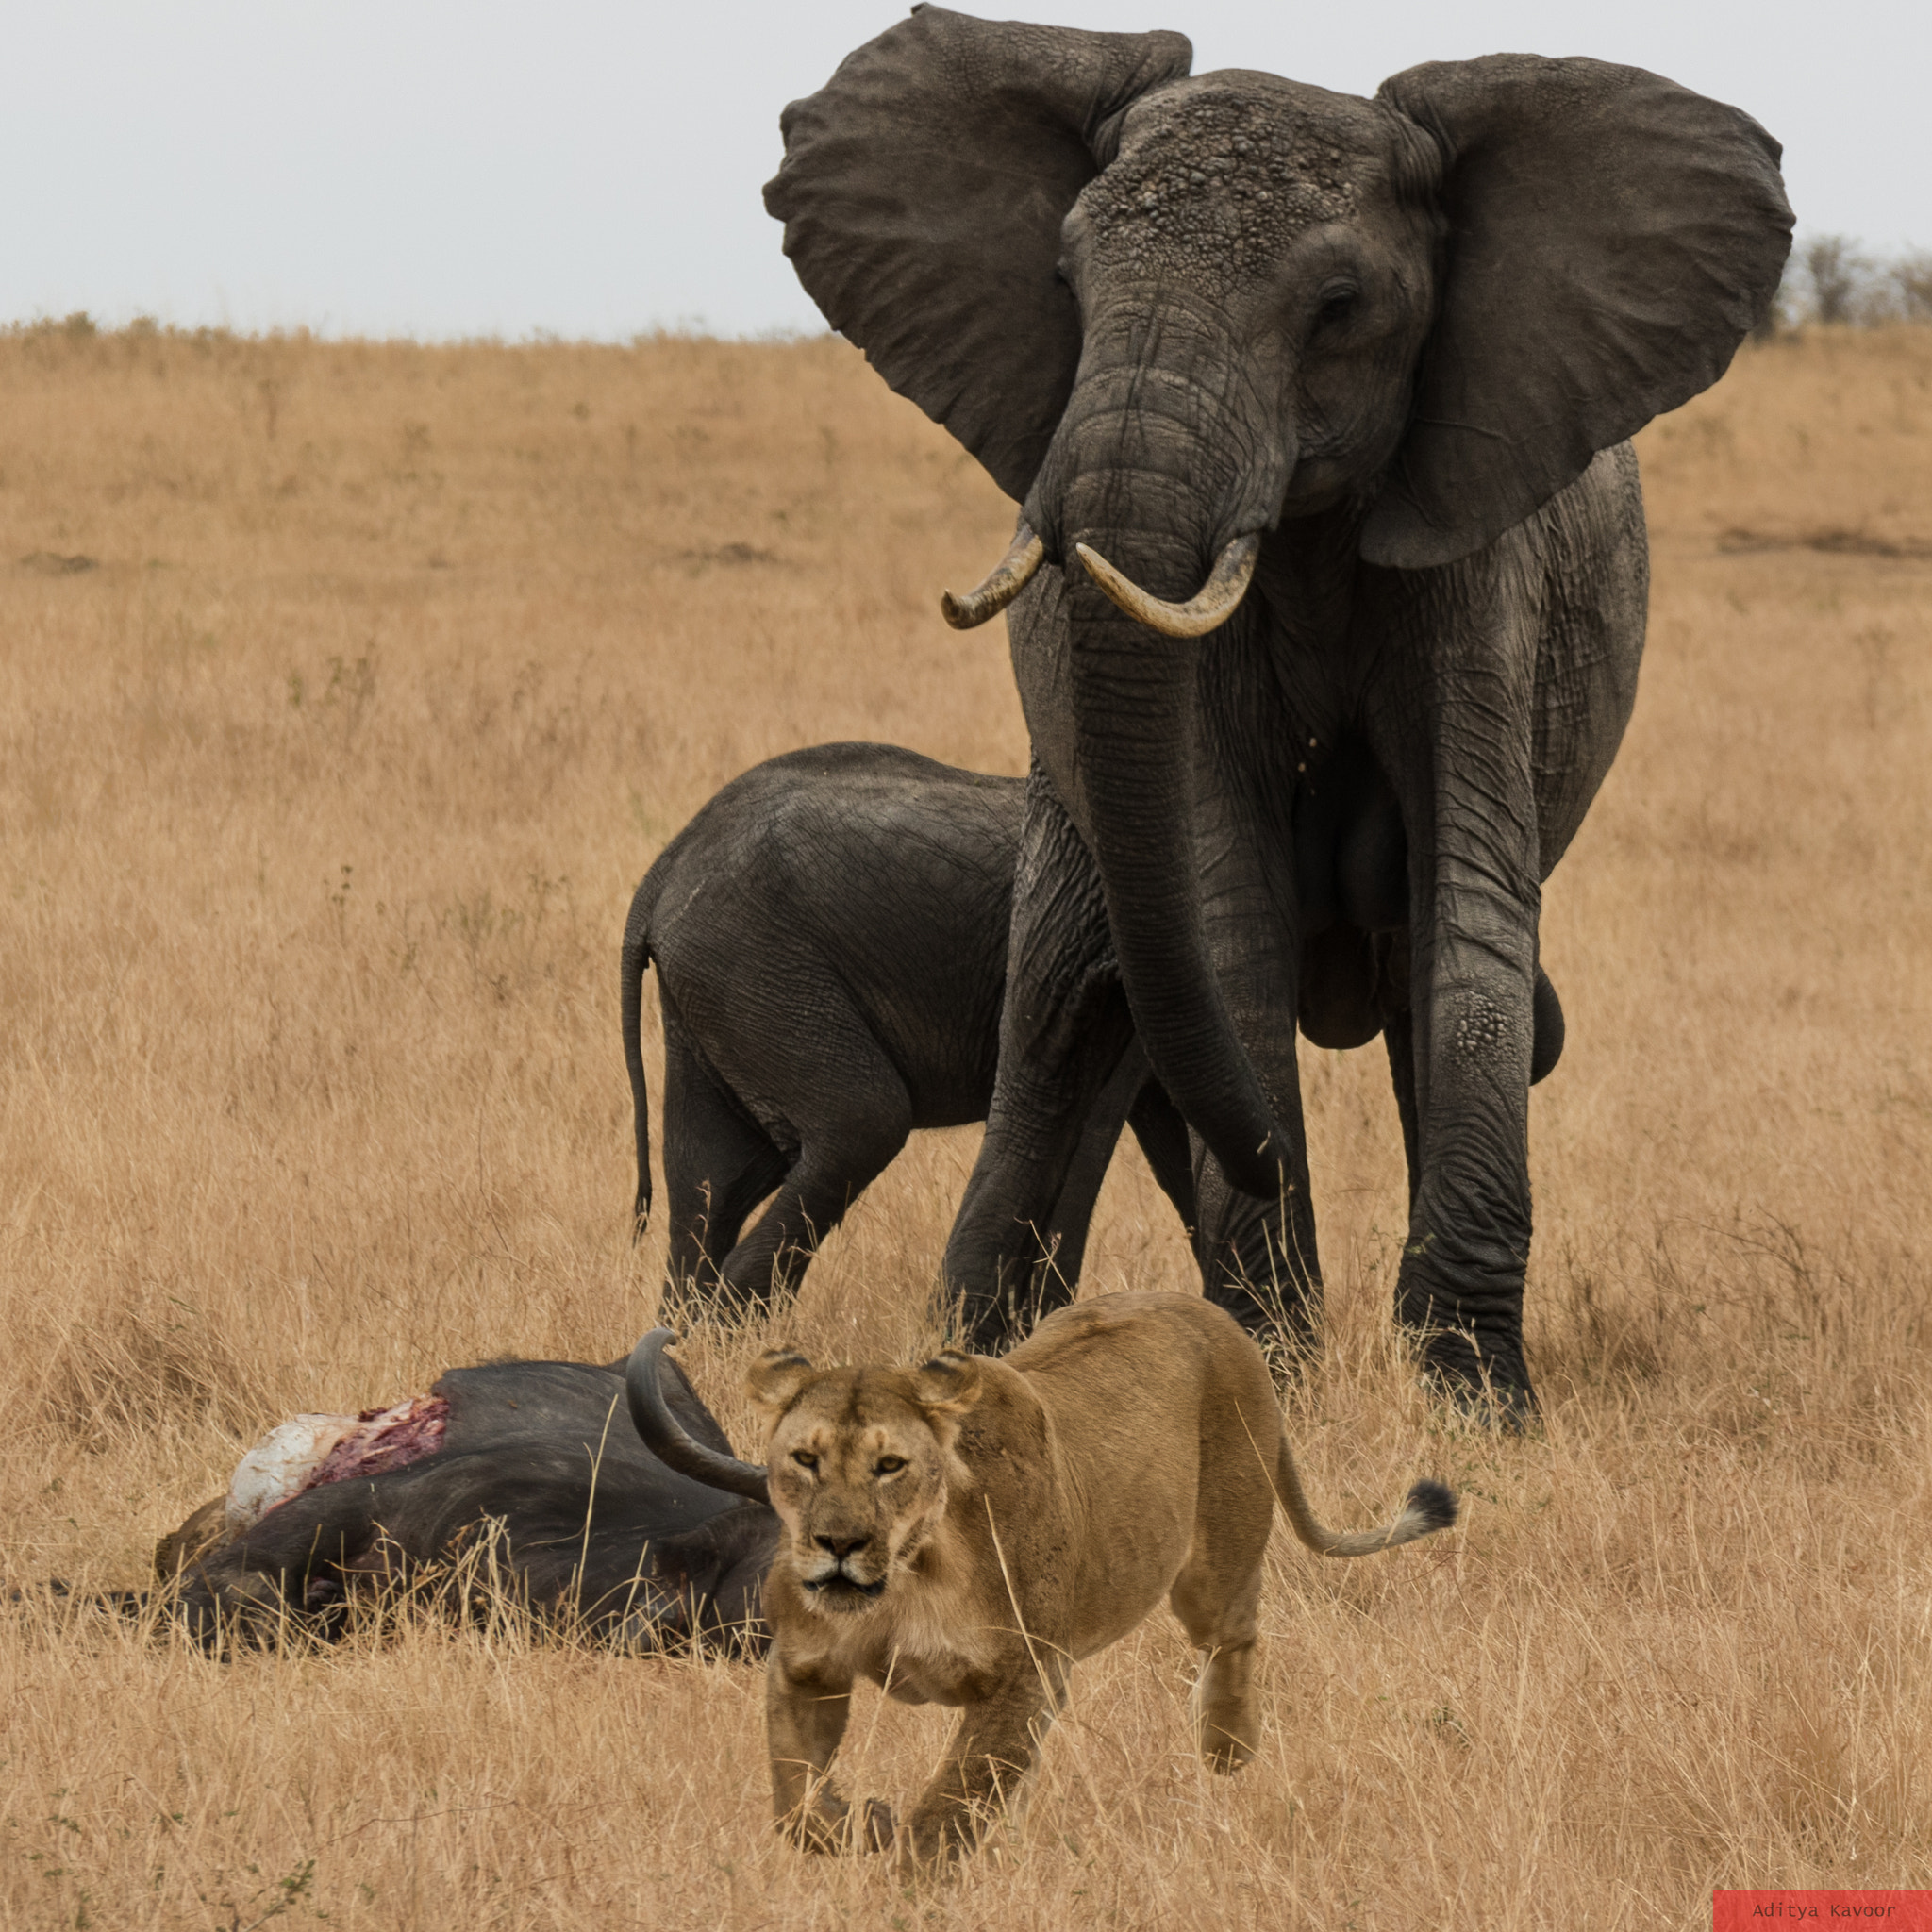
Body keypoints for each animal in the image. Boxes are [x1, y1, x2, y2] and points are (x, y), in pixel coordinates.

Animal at [621, 742, 1198, 1314]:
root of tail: (664, 870)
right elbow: (1108, 1125)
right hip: (758, 968)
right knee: (863, 1121)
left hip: (714, 982)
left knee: (709, 1180)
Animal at [630, 1292, 1456, 1870]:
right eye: (805, 1459)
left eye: (890, 1465)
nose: (837, 1544)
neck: (903, 1582)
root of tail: (1211, 1311)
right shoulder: (804, 1669)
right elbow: (794, 1801)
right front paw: (857, 1820)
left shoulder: (1027, 1674)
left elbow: (946, 1813)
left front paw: (907, 1878)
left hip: (1211, 1566)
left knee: (1236, 1634)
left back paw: (1227, 1755)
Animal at [764, 11, 1791, 1407]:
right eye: (1063, 281)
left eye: (1339, 309)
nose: (1254, 1155)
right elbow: (1227, 896)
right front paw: (1275, 1370)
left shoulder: (1483, 561)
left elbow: (1466, 894)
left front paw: (1473, 1403)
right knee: (1059, 1019)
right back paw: (975, 1354)